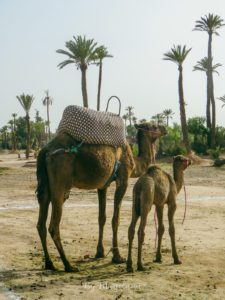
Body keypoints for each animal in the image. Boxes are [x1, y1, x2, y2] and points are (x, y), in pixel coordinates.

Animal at [36, 121, 167, 272]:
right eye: (154, 126)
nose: (165, 129)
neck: (135, 162)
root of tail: (45, 150)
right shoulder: (123, 179)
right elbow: (115, 219)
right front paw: (117, 257)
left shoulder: (103, 186)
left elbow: (101, 218)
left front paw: (100, 252)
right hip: (60, 180)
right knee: (53, 225)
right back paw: (69, 265)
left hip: (44, 185)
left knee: (41, 223)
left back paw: (50, 264)